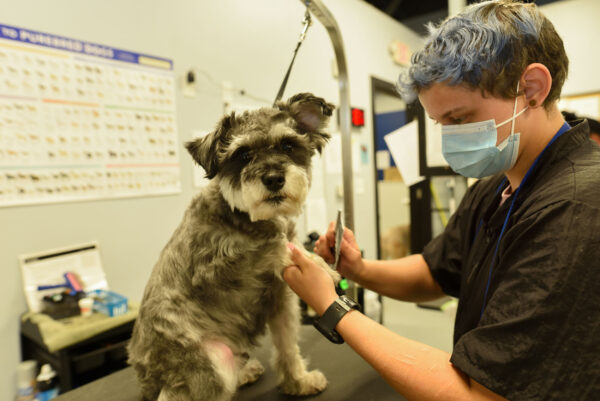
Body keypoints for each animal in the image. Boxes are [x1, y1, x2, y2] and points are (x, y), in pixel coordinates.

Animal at [128, 93, 340, 400]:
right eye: (243, 155)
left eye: (288, 146)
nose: (274, 179)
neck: (243, 215)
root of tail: (145, 376)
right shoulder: (217, 269)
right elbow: (273, 248)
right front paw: (321, 265)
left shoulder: (281, 301)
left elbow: (287, 345)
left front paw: (298, 382)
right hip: (209, 364)